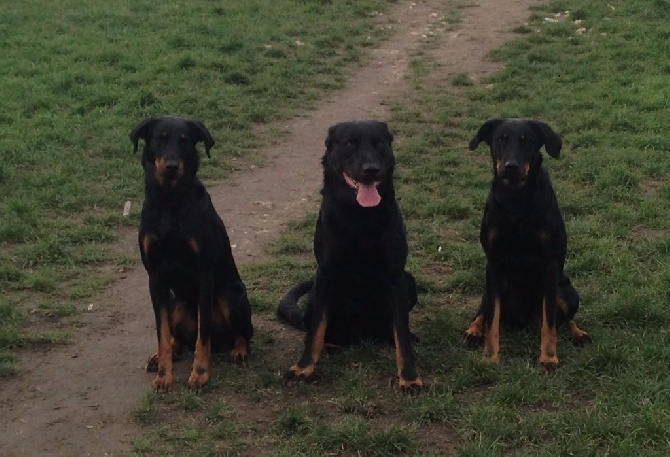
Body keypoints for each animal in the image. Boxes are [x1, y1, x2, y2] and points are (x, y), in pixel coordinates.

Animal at [132, 116, 255, 390]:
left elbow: (203, 335)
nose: (171, 167)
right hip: (176, 303)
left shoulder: (204, 274)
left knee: (241, 334)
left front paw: (199, 373)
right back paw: (163, 355)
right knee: (176, 338)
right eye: (160, 138)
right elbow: (162, 334)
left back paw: (239, 351)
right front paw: (164, 376)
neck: (169, 201)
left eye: (185, 141)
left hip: (231, 295)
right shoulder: (155, 277)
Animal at [468, 117, 592, 370]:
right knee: (482, 312)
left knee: (565, 319)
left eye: (528, 142)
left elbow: (550, 323)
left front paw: (549, 357)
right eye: (500, 140)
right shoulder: (494, 264)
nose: (511, 166)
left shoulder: (550, 265)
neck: (516, 199)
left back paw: (579, 333)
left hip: (567, 291)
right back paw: (473, 331)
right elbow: (492, 320)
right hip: (491, 289)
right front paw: (490, 357)